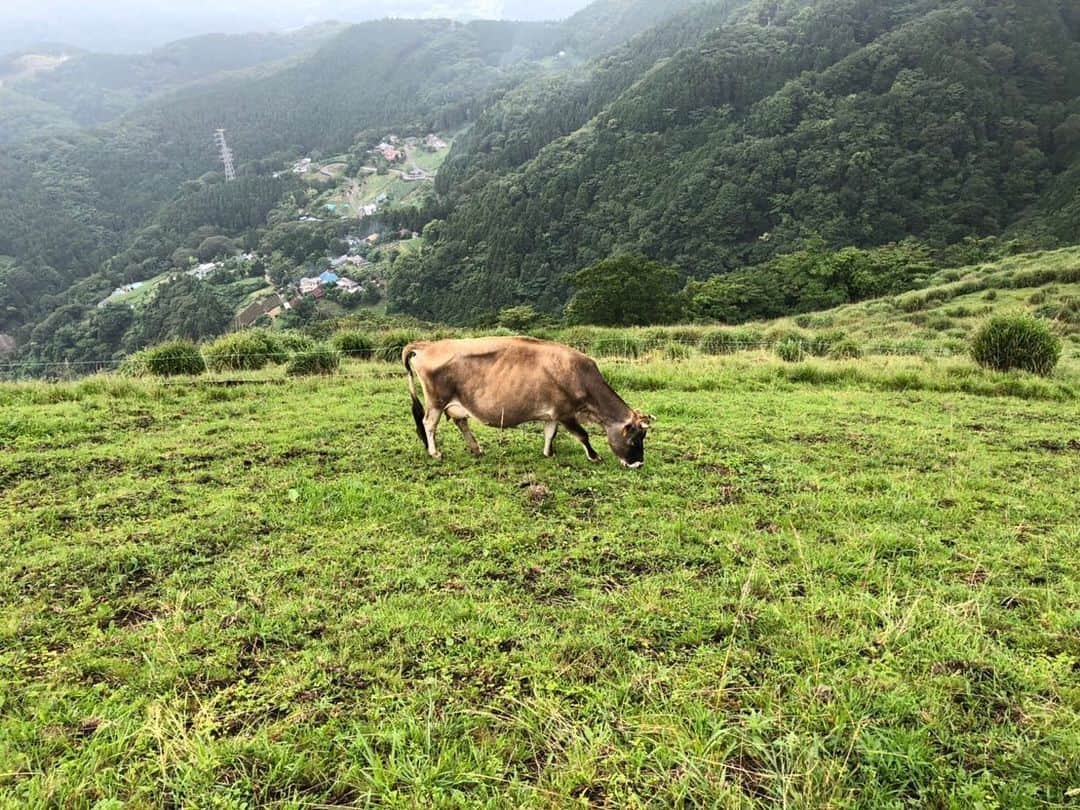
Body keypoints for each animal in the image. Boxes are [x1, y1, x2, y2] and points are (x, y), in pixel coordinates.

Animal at [403, 336, 648, 466]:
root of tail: (426, 346)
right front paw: (595, 456)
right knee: (428, 424)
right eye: (634, 440)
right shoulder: (566, 412)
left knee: (461, 422)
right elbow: (583, 435)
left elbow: (550, 433)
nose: (638, 464)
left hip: (455, 403)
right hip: (436, 401)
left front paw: (549, 453)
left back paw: (476, 449)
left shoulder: (552, 414)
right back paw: (434, 452)